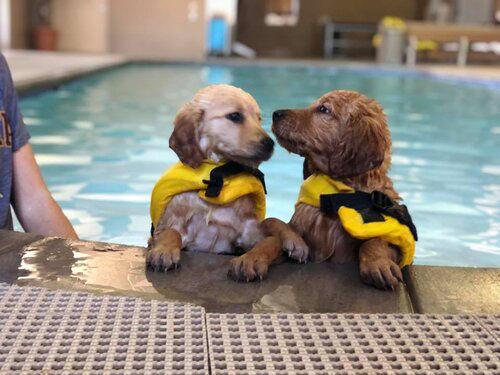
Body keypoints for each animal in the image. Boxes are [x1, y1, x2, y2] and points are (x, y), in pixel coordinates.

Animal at [272, 90, 416, 290]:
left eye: (323, 109)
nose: (275, 114)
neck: (337, 194)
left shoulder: (397, 244)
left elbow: (377, 240)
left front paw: (377, 263)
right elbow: (277, 225)